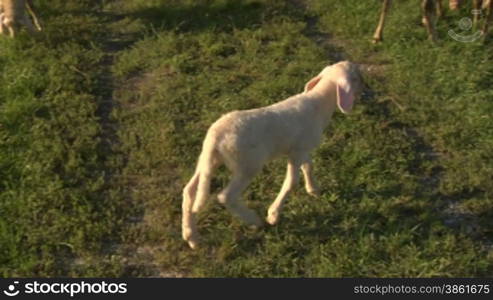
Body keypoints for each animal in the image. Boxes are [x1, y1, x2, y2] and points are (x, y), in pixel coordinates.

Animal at [180, 60, 362, 248]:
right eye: (356, 78)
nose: (364, 90)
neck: (319, 103)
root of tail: (216, 137)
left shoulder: (302, 148)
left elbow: (308, 166)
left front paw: (313, 189)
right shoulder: (296, 152)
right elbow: (291, 182)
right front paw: (273, 214)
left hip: (208, 161)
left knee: (189, 190)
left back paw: (191, 236)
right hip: (247, 165)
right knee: (226, 196)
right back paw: (254, 220)